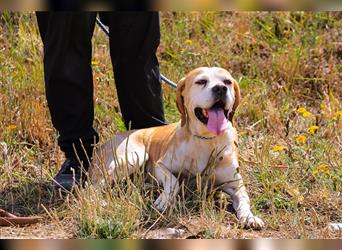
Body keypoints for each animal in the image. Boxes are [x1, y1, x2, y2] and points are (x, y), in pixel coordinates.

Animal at [88, 67, 264, 230]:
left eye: (227, 81)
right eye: (201, 81)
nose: (220, 88)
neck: (207, 140)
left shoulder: (235, 185)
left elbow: (244, 200)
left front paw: (250, 217)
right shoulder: (160, 165)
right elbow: (174, 182)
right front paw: (163, 201)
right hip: (134, 157)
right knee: (92, 187)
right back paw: (101, 201)